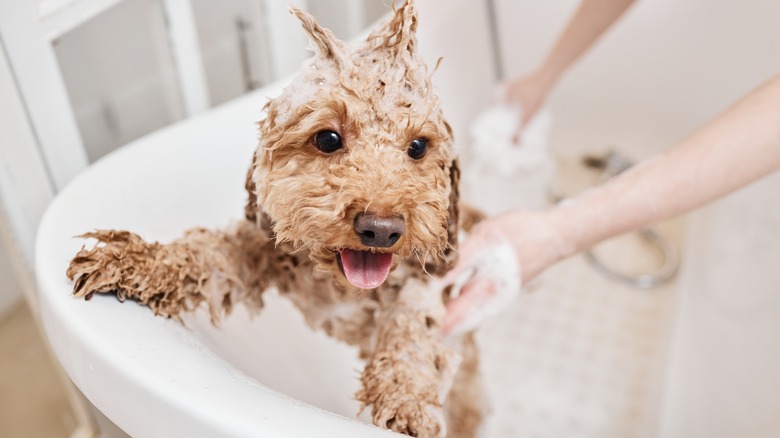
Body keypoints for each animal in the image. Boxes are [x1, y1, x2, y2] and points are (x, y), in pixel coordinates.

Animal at [65, 1, 488, 436]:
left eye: (418, 147)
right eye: (328, 139)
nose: (382, 229)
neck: (342, 290)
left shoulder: (424, 284)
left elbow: (412, 331)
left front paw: (405, 401)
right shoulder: (263, 242)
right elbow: (205, 255)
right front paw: (133, 262)